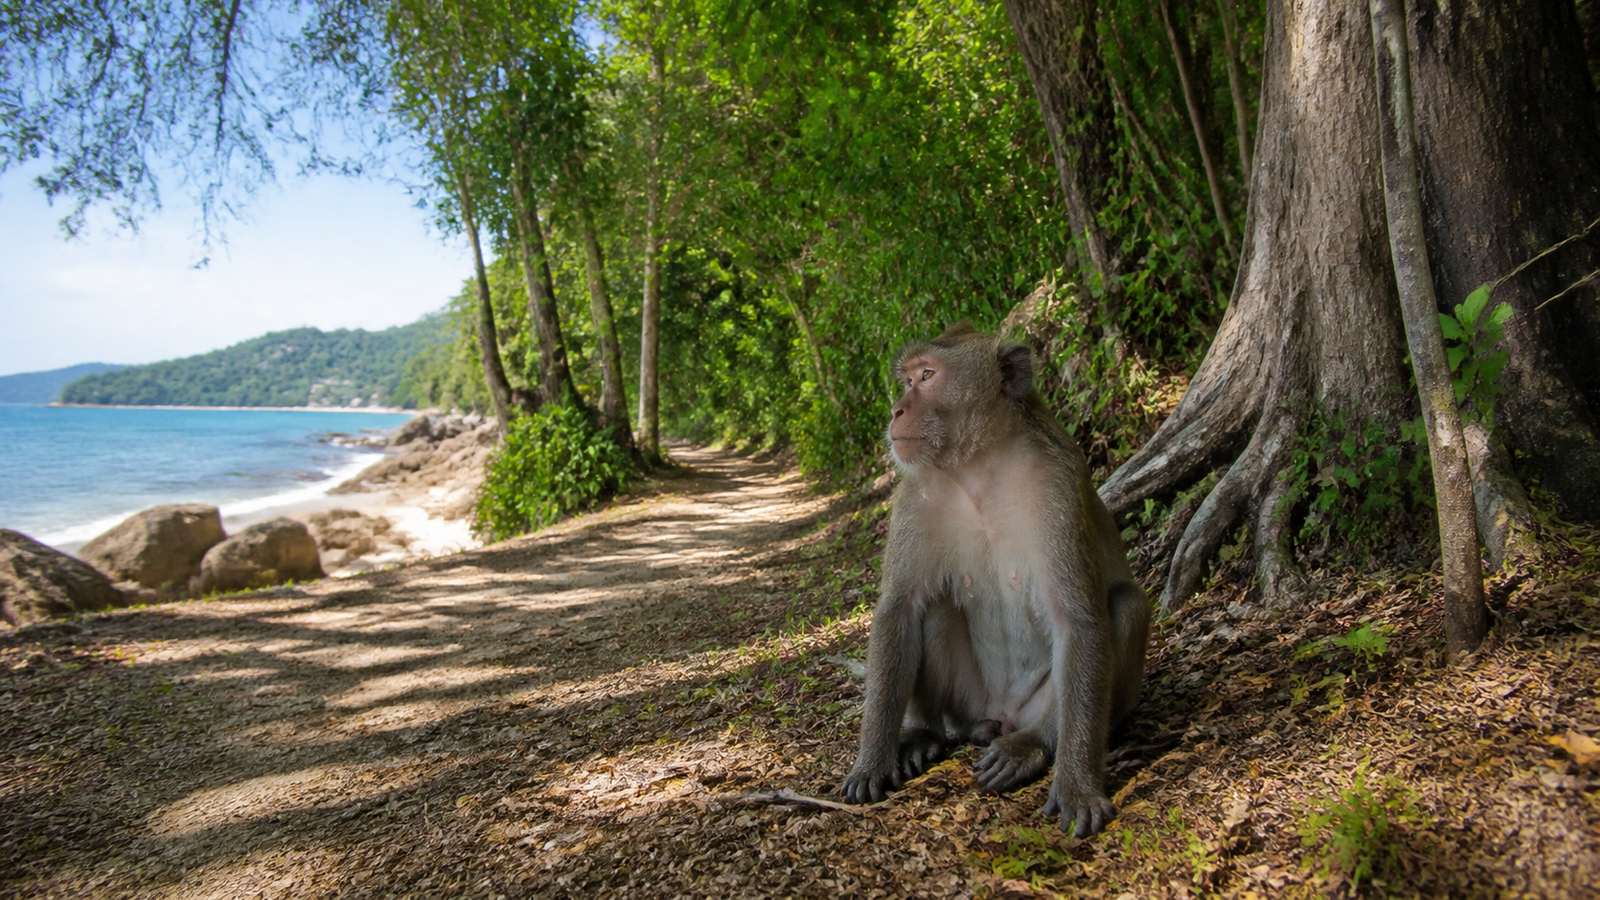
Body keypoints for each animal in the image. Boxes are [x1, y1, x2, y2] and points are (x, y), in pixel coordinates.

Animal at [839, 322, 1151, 838]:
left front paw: (1078, 785)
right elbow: (899, 609)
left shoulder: (1057, 485)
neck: (978, 467)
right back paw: (927, 734)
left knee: (1126, 605)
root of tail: (1001, 714)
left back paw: (1032, 745)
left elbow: (1078, 620)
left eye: (928, 375)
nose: (897, 409)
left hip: (1040, 706)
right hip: (970, 702)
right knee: (933, 609)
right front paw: (871, 761)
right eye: (907, 380)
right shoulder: (913, 497)